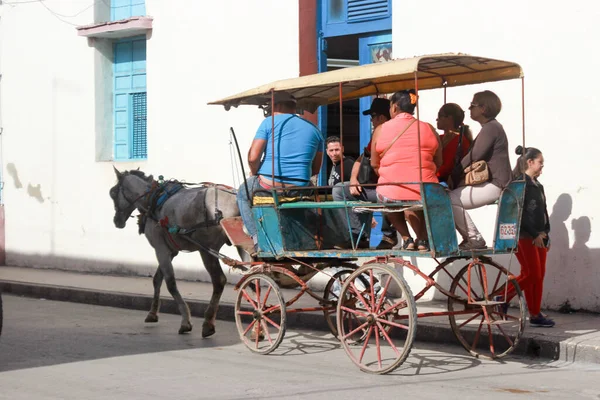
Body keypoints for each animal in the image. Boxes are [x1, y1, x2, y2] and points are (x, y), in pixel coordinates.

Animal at [110, 167, 246, 336]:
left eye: (113, 193)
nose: (117, 221)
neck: (152, 199)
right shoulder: (171, 251)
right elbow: (157, 279)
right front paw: (152, 313)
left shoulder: (160, 249)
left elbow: (170, 283)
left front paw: (185, 321)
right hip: (243, 246)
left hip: (207, 250)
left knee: (219, 280)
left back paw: (208, 322)